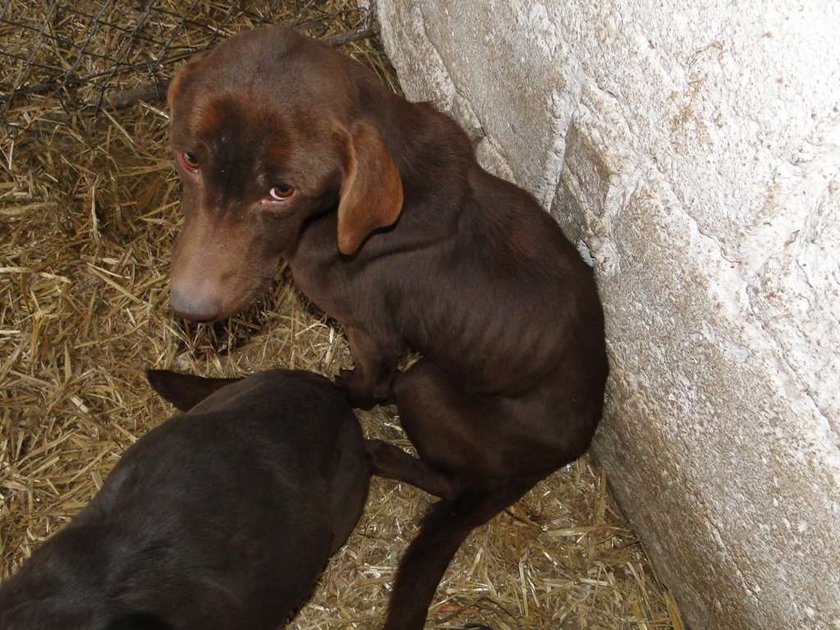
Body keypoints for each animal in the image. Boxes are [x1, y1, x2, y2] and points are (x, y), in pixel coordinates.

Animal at [167, 25, 608, 630]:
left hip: (425, 384)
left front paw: (342, 391)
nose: (188, 306)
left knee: (451, 478)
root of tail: (570, 446)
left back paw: (386, 456)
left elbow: (364, 384)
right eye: (189, 159)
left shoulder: (373, 335)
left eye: (282, 190)